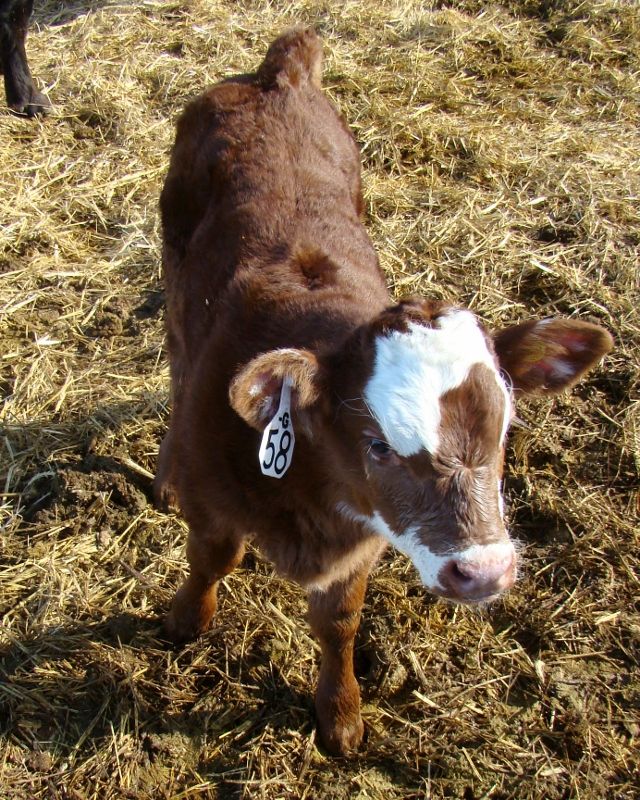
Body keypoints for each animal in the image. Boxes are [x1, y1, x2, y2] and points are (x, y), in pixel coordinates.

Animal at [155, 27, 613, 755]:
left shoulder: (360, 544)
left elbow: (339, 622)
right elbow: (211, 559)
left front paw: (340, 712)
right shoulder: (215, 503)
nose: (484, 571)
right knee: (174, 361)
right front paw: (184, 620)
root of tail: (278, 76)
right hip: (173, 269)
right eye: (377, 444)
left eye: (504, 431)